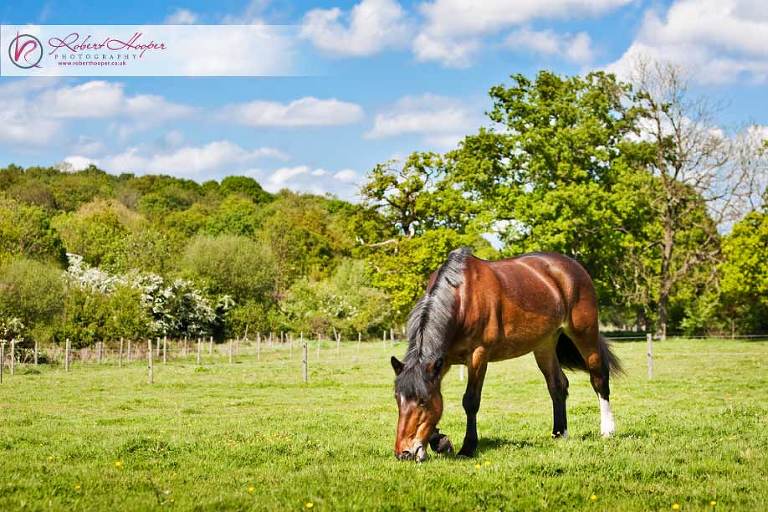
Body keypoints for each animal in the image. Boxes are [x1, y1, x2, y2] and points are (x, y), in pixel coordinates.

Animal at [390, 248, 621, 461]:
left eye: (422, 401)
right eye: (397, 398)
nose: (404, 453)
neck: (462, 299)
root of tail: (573, 266)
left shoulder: (478, 355)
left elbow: (470, 401)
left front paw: (467, 448)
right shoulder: (442, 361)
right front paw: (440, 442)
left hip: (585, 333)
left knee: (599, 378)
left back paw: (607, 430)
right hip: (544, 345)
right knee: (557, 385)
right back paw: (559, 433)